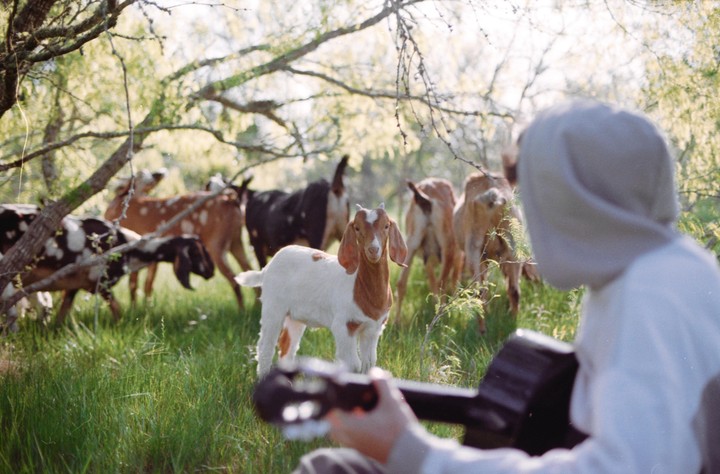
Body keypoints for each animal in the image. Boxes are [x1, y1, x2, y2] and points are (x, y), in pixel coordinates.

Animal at [0, 204, 214, 327]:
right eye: (196, 252)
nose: (211, 272)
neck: (128, 245)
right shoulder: (102, 282)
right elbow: (118, 312)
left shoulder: (73, 286)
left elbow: (61, 317)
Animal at [105, 170, 253, 309]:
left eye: (142, 174)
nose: (160, 172)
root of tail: (232, 200)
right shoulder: (152, 256)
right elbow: (148, 285)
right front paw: (147, 309)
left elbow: (133, 285)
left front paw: (134, 310)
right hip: (235, 242)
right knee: (249, 271)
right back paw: (254, 308)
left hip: (216, 246)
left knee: (234, 280)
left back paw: (242, 312)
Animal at [235, 204, 407, 376]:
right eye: (357, 228)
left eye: (386, 226)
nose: (373, 250)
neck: (360, 284)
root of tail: (267, 268)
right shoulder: (344, 325)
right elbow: (353, 364)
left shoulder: (374, 328)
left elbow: (369, 363)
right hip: (273, 306)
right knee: (266, 346)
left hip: (295, 316)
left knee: (287, 347)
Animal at [395, 178, 461, 322]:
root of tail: (425, 198)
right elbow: (453, 281)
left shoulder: (427, 258)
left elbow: (432, 282)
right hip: (447, 245)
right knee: (442, 281)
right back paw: (441, 316)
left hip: (411, 243)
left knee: (401, 283)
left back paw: (397, 322)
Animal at [453, 172, 524, 331]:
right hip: (513, 245)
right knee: (514, 289)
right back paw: (513, 321)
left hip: (474, 249)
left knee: (480, 293)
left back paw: (481, 330)